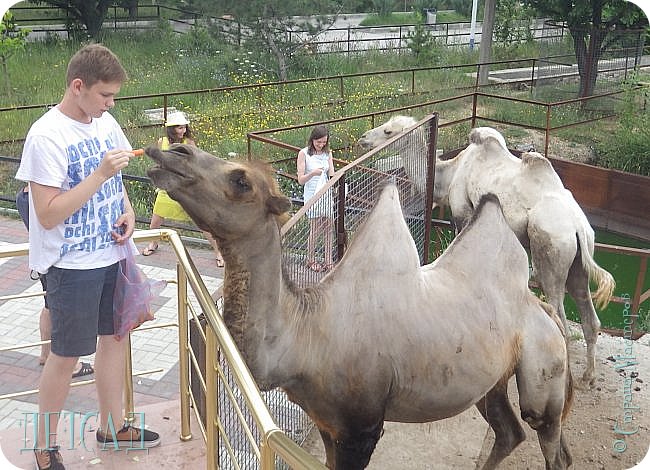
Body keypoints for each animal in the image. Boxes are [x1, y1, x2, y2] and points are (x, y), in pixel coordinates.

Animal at [144, 144, 568, 470]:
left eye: (240, 181)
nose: (171, 151)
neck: (305, 339)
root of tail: (542, 310)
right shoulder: (325, 420)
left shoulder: (361, 427)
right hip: (491, 379)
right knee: (509, 431)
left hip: (545, 366)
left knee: (548, 439)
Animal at [354, 117, 612, 386]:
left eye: (388, 131)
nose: (363, 138)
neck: (450, 174)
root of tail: (578, 226)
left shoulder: (462, 212)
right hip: (579, 260)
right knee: (589, 316)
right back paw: (589, 376)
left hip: (551, 248)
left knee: (559, 315)